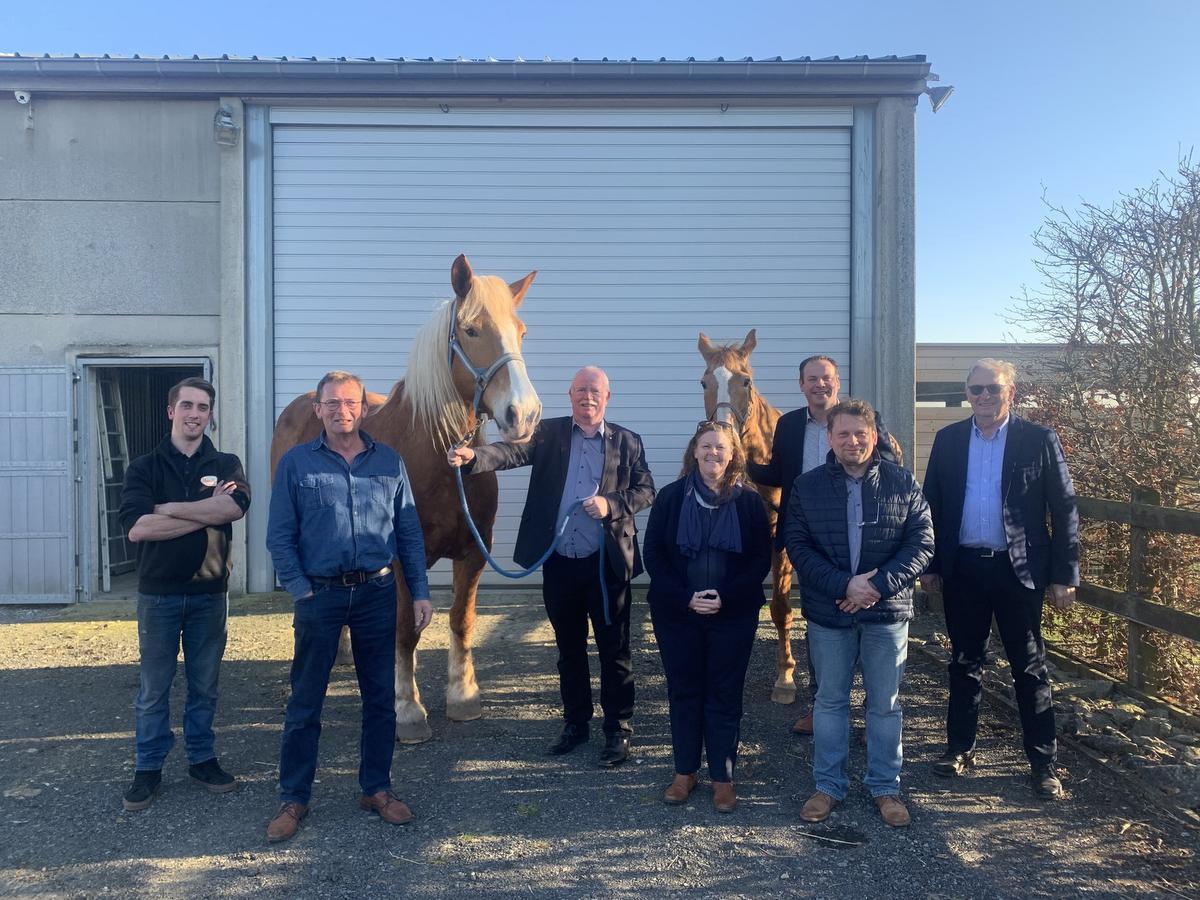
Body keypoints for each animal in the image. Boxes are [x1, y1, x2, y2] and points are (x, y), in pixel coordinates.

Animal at [272, 252, 544, 739]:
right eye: (471, 330)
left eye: (522, 332)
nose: (524, 414)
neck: (440, 459)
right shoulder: (400, 558)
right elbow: (404, 630)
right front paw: (406, 710)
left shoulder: (474, 552)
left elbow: (461, 621)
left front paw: (463, 696)